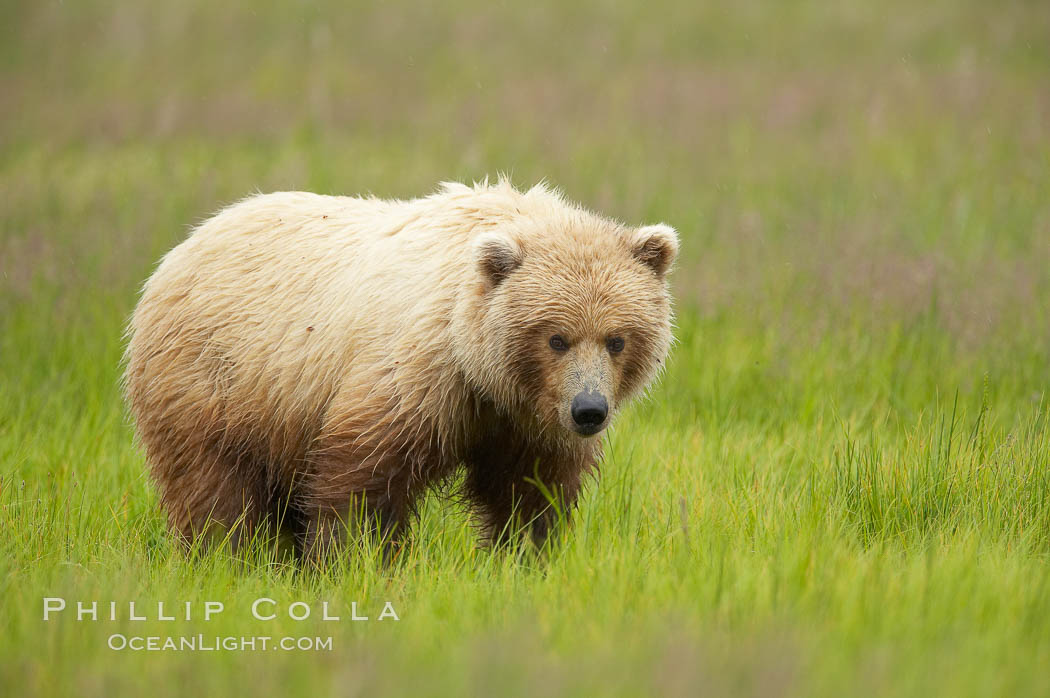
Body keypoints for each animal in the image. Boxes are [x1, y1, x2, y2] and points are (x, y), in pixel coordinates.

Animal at [124, 180, 680, 562]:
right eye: (556, 337)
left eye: (617, 338)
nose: (589, 410)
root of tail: (182, 248)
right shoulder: (420, 376)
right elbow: (364, 483)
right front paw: (356, 562)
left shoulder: (526, 424)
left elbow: (529, 494)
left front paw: (522, 558)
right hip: (217, 380)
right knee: (212, 488)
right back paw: (225, 556)